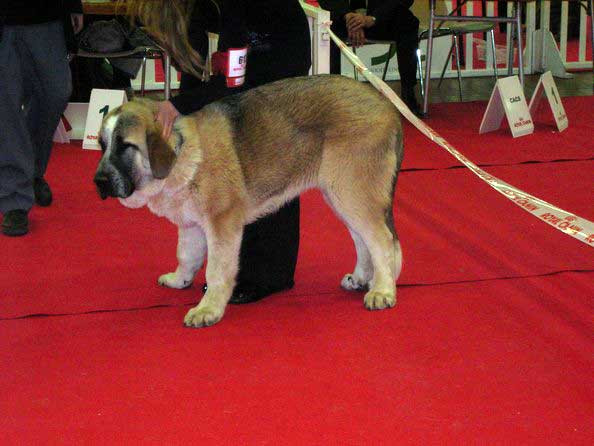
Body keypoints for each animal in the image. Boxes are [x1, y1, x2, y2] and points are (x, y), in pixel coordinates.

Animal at [93, 75, 402, 328]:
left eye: (125, 146)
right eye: (103, 145)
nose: (99, 181)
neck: (182, 153)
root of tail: (387, 106)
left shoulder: (222, 222)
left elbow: (216, 270)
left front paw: (208, 309)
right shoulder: (191, 224)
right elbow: (187, 255)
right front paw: (179, 280)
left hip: (352, 191)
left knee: (382, 240)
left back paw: (383, 290)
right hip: (340, 194)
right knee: (362, 239)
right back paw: (362, 278)